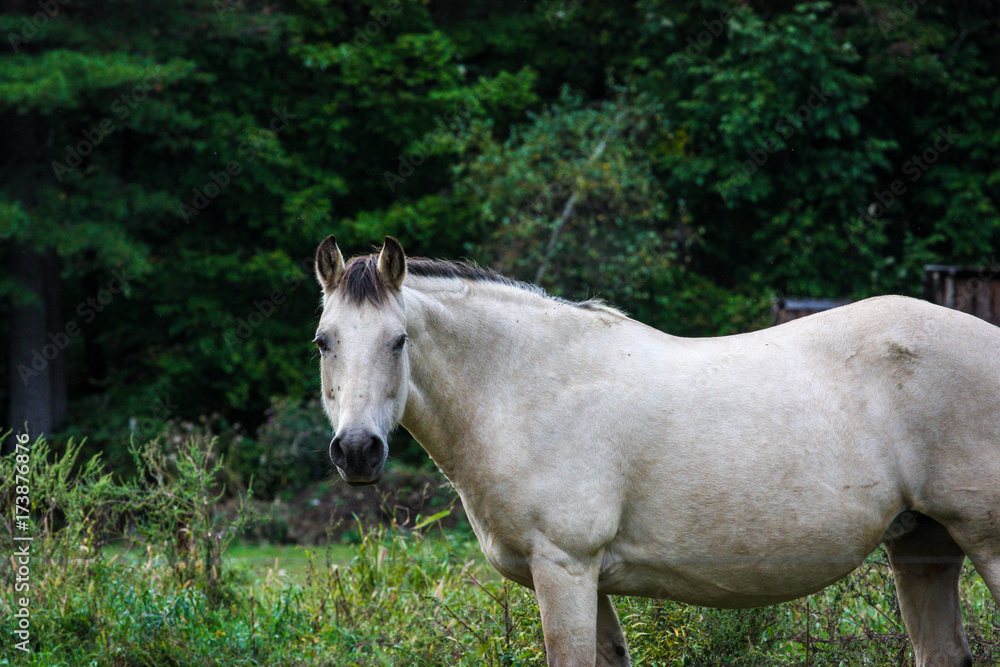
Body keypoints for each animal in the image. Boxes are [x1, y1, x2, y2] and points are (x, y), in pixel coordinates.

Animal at [313, 236, 1000, 667]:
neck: (525, 384)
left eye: (399, 340)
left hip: (985, 543)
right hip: (921, 545)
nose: (357, 452)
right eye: (324, 341)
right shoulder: (588, 580)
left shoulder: (564, 568)